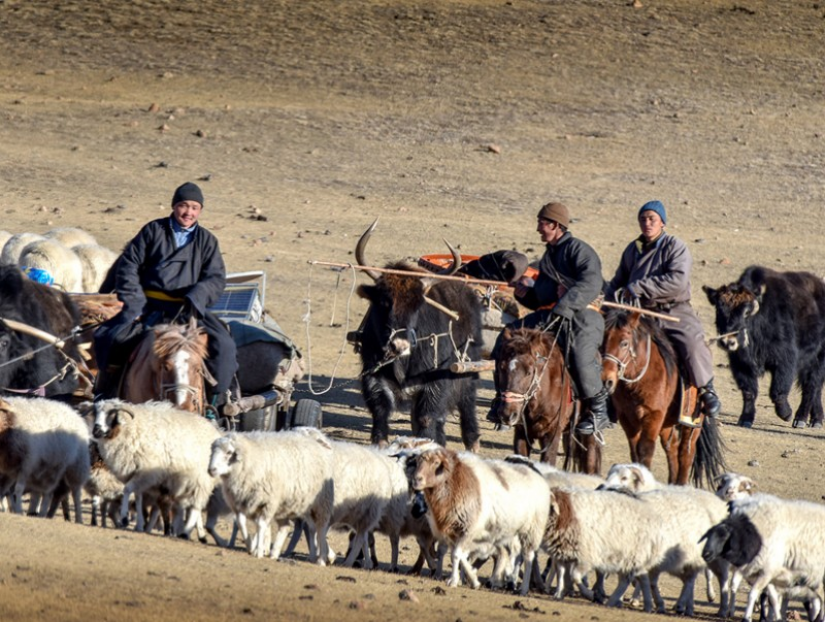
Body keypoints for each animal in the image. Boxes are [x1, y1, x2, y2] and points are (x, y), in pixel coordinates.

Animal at [91, 400, 222, 540]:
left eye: (111, 414)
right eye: (96, 413)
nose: (96, 431)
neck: (130, 428)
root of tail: (216, 432)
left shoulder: (146, 472)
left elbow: (127, 490)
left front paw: (125, 517)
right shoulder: (138, 476)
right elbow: (138, 496)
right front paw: (139, 524)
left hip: (201, 481)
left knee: (195, 507)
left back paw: (187, 533)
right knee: (187, 507)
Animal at [208, 432, 334, 564]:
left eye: (228, 452)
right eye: (212, 451)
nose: (211, 470)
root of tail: (317, 443)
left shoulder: (269, 502)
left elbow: (261, 525)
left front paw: (258, 552)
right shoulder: (240, 504)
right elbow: (241, 523)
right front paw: (250, 546)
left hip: (321, 503)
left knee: (321, 528)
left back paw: (321, 558)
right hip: (297, 506)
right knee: (300, 527)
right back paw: (282, 553)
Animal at [410, 446, 552, 596]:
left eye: (436, 462)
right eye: (418, 461)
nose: (416, 480)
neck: (455, 483)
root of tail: (538, 476)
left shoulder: (469, 529)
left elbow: (456, 555)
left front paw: (453, 580)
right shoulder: (455, 532)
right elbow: (461, 556)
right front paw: (473, 580)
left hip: (532, 529)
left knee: (529, 557)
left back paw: (523, 588)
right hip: (509, 532)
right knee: (510, 554)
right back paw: (504, 580)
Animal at [596, 310, 724, 488]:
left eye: (624, 343)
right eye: (601, 341)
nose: (605, 381)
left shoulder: (653, 415)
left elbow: (645, 449)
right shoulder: (627, 418)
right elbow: (634, 450)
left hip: (693, 422)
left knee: (686, 452)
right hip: (667, 423)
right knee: (672, 447)